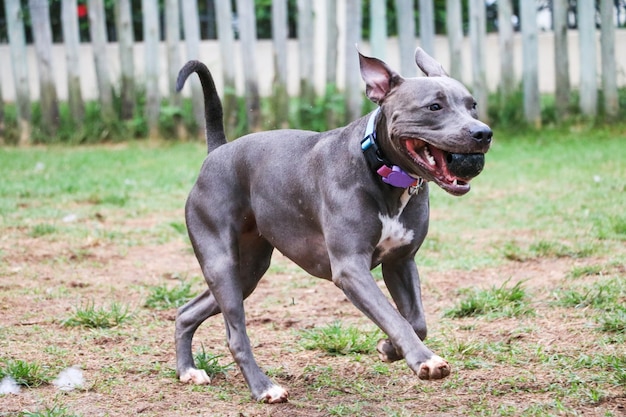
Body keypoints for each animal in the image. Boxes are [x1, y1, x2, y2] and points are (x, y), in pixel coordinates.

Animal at [173, 48, 490, 404]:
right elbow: (395, 317)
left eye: (472, 105)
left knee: (187, 311)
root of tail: (218, 152)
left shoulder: (400, 262)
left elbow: (415, 321)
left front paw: (390, 349)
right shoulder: (351, 269)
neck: (380, 168)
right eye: (434, 106)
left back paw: (188, 370)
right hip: (222, 264)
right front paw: (424, 359)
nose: (483, 133)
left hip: (247, 272)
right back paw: (264, 387)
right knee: (235, 334)